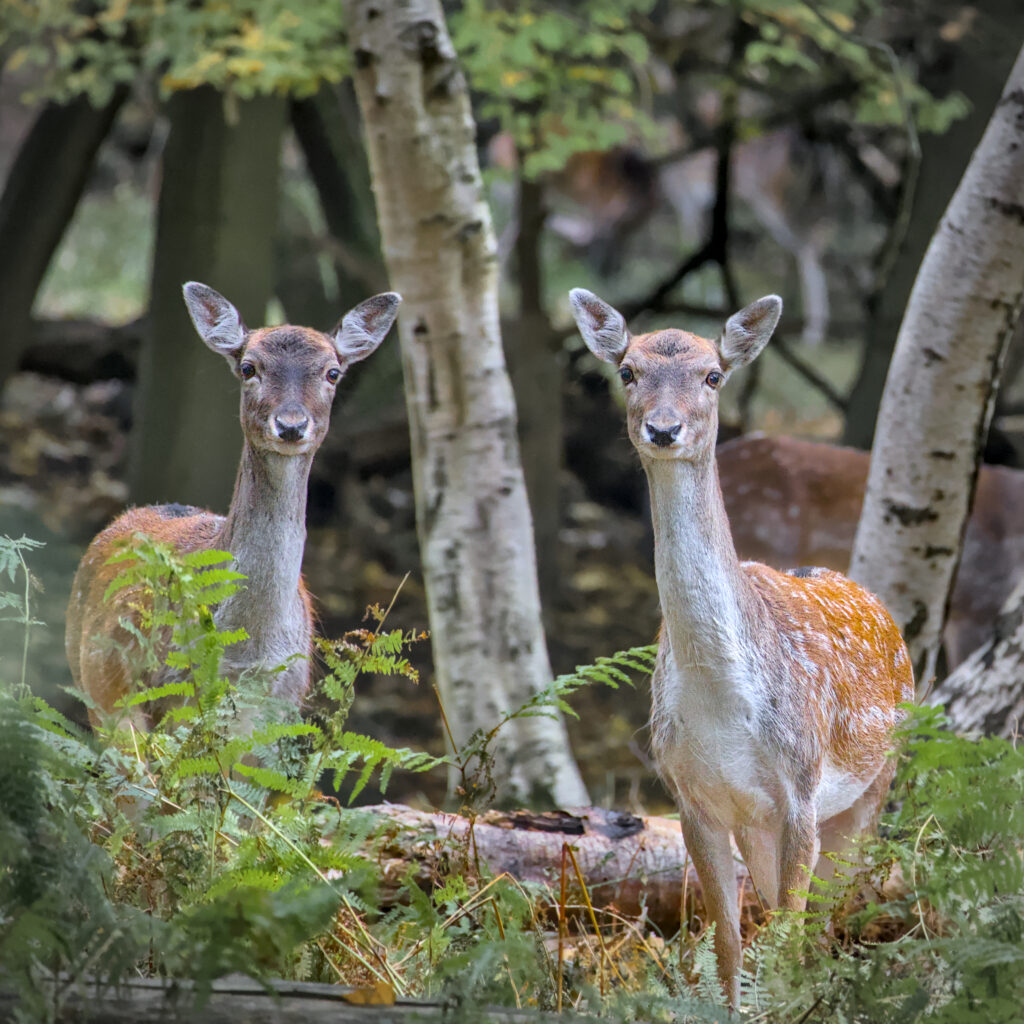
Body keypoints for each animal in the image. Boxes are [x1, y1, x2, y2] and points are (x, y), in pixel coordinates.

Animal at [65, 282, 401, 730]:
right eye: (248, 368)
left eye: (333, 372)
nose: (291, 425)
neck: (249, 654)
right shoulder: (169, 699)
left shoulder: (281, 707)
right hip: (100, 692)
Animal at [569, 288, 914, 1007]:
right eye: (628, 371)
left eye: (713, 375)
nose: (663, 430)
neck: (723, 707)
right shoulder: (691, 796)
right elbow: (729, 942)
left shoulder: (800, 790)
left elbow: (786, 939)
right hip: (764, 824)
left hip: (874, 783)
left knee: (827, 918)